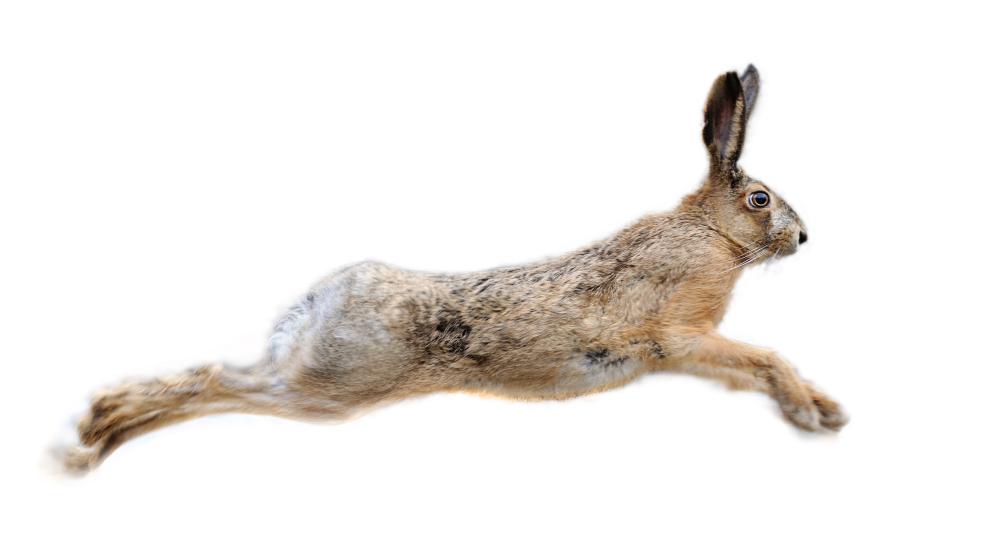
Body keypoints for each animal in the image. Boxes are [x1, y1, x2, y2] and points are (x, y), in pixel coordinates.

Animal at [59, 64, 847, 474]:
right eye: (759, 199)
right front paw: (811, 415)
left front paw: (828, 411)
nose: (804, 237)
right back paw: (94, 439)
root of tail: (318, 303)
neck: (709, 233)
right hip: (329, 389)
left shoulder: (691, 350)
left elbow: (758, 367)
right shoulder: (680, 335)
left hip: (312, 381)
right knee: (223, 383)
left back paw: (100, 431)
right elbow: (765, 359)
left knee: (217, 384)